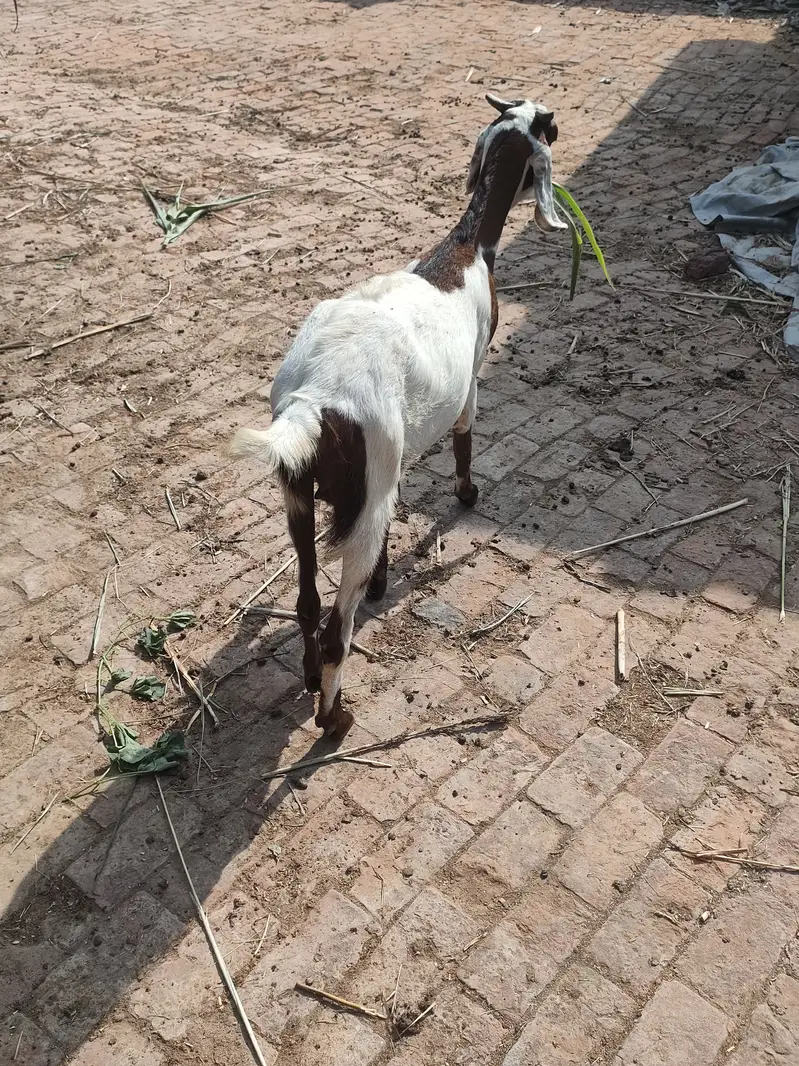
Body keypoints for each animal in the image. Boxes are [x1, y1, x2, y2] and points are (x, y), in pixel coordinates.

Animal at [231, 94, 565, 739]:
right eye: (549, 128)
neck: (464, 249)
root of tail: (315, 401)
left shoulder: (387, 470)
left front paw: (386, 577)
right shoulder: (472, 378)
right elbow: (464, 439)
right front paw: (467, 495)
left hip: (299, 493)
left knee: (308, 600)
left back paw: (309, 678)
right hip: (361, 488)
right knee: (337, 631)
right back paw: (334, 718)